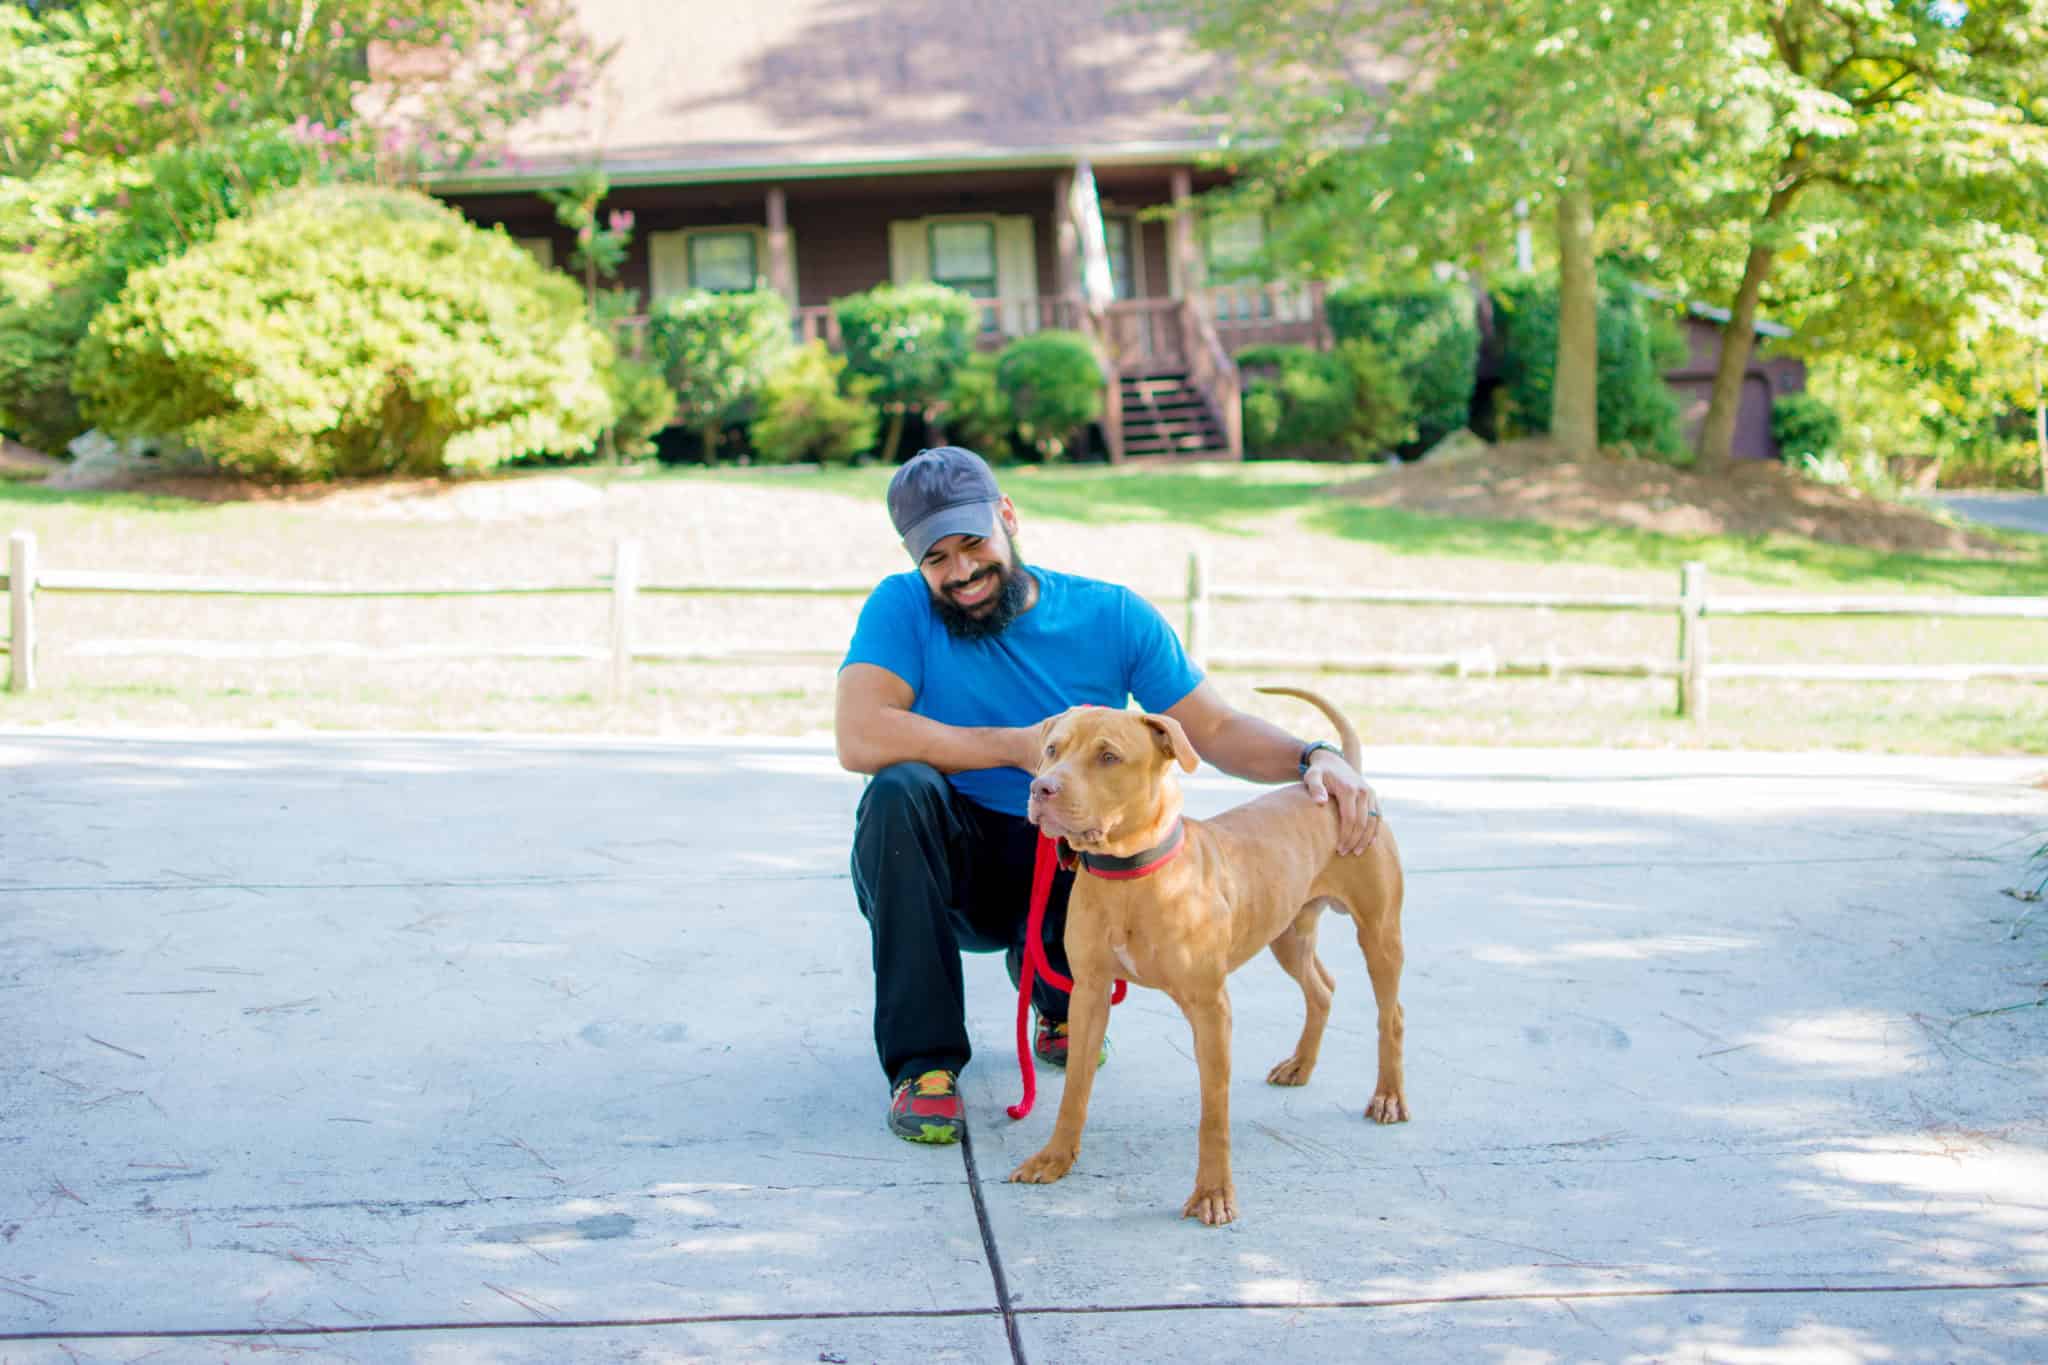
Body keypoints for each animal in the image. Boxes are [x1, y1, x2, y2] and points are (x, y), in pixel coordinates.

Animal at [1007, 687, 1409, 1219]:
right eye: (1052, 749)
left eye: (1108, 757)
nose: (1042, 788)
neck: (1130, 876)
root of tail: (1345, 777)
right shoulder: (1089, 993)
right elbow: (1074, 1089)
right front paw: (1054, 1158)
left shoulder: (1210, 1009)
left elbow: (1214, 1114)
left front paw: (1214, 1193)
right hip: (1287, 933)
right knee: (1322, 988)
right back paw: (1300, 1065)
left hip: (1379, 935)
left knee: (1391, 1015)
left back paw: (1388, 1097)